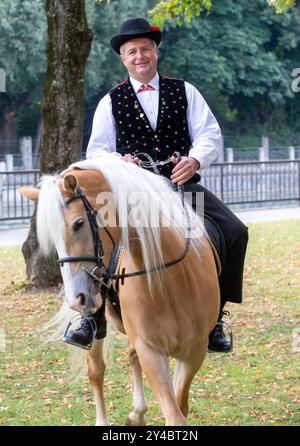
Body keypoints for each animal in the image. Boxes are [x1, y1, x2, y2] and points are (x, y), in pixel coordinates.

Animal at [19, 158, 220, 426]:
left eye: (78, 224)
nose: (77, 300)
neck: (170, 281)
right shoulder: (152, 352)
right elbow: (174, 414)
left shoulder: (193, 352)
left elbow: (180, 407)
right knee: (96, 371)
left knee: (130, 356)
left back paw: (137, 413)